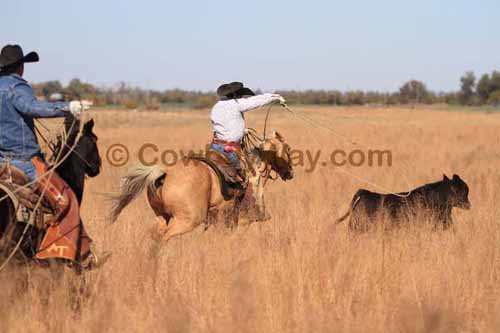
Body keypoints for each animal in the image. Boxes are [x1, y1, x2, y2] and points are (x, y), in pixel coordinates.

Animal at [110, 130, 292, 241]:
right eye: (288, 149)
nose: (290, 173)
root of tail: (165, 173)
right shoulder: (241, 222)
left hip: (162, 216)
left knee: (155, 235)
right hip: (187, 220)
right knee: (165, 237)